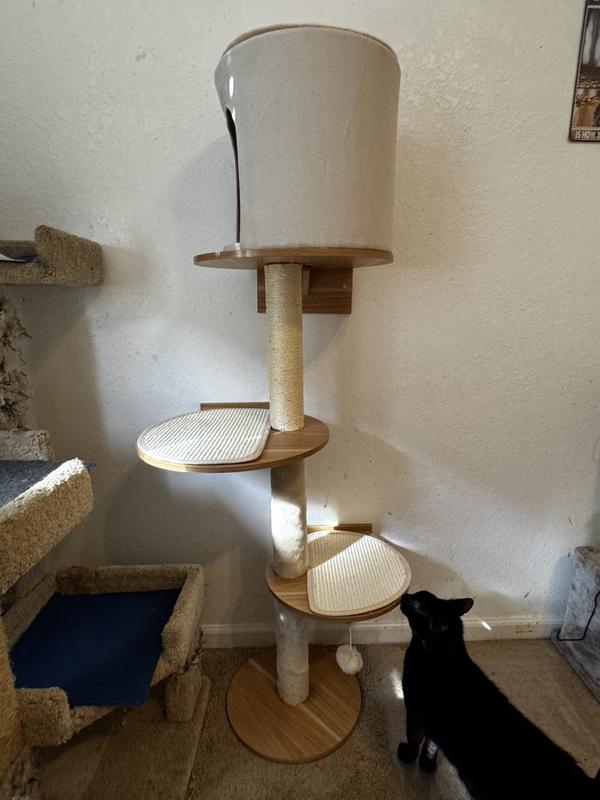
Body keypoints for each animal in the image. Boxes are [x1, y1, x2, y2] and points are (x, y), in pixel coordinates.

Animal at [397, 591, 600, 800]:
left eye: (417, 602)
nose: (405, 596)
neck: (443, 652)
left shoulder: (414, 709)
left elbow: (414, 738)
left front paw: (408, 757)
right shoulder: (431, 723)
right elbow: (431, 744)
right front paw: (427, 765)